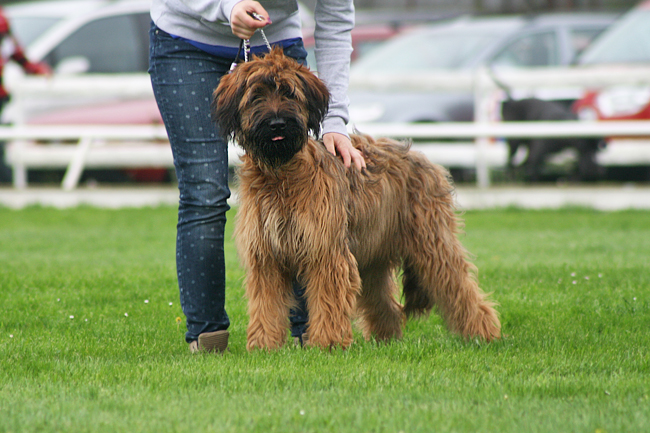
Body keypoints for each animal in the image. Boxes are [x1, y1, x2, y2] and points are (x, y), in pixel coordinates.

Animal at [215, 49, 498, 350]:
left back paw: (483, 333)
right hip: (373, 255)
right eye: (256, 96)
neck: (281, 174)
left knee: (459, 287)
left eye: (289, 93)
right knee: (383, 302)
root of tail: (424, 159)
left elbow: (327, 298)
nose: (277, 123)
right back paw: (385, 339)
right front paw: (264, 346)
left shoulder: (325, 250)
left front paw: (326, 343)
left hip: (432, 242)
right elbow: (266, 304)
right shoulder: (266, 256)